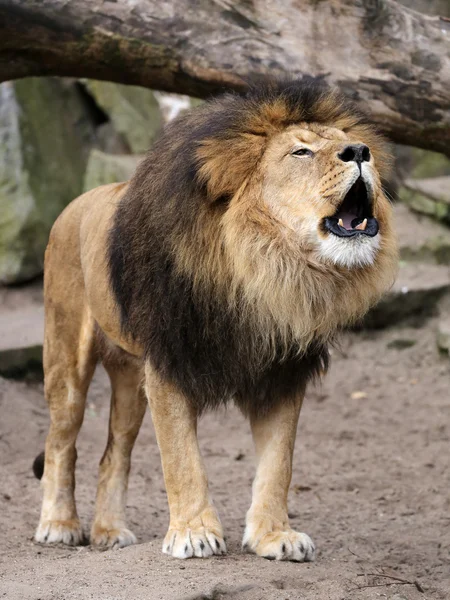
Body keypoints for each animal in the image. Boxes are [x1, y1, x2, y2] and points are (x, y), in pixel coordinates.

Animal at [32, 79, 398, 564]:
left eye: (349, 143)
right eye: (301, 152)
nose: (360, 151)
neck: (262, 268)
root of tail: (77, 200)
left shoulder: (281, 372)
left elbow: (278, 463)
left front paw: (274, 535)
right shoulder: (170, 363)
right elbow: (183, 459)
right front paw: (194, 533)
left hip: (129, 380)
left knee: (115, 454)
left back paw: (110, 531)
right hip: (66, 360)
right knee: (60, 443)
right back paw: (58, 525)